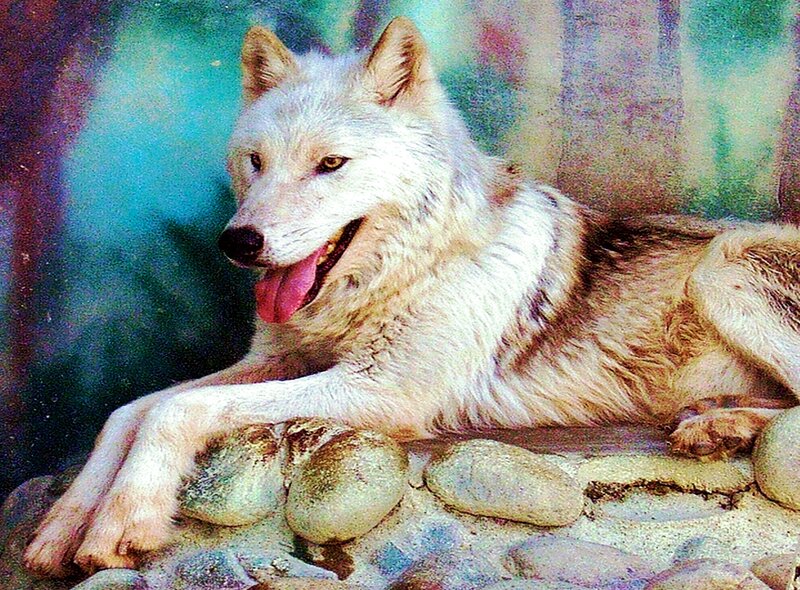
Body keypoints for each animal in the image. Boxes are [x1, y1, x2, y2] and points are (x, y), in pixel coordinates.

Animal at [25, 17, 800, 575]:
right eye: (256, 162)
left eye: (330, 164)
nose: (238, 242)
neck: (407, 271)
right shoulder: (278, 363)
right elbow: (128, 412)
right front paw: (61, 528)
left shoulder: (385, 389)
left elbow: (176, 409)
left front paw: (125, 518)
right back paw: (719, 419)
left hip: (723, 269)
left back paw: (721, 424)